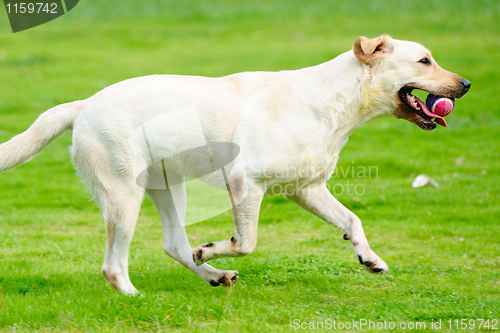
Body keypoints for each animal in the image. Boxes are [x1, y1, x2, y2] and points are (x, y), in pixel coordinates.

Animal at [0, 35, 468, 292]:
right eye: (425, 61)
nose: (465, 83)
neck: (333, 103)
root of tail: (85, 104)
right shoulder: (246, 184)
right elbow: (246, 242)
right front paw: (212, 246)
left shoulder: (306, 190)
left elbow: (352, 220)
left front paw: (369, 258)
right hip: (124, 197)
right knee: (114, 265)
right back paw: (136, 295)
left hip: (167, 189)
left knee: (174, 245)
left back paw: (214, 276)